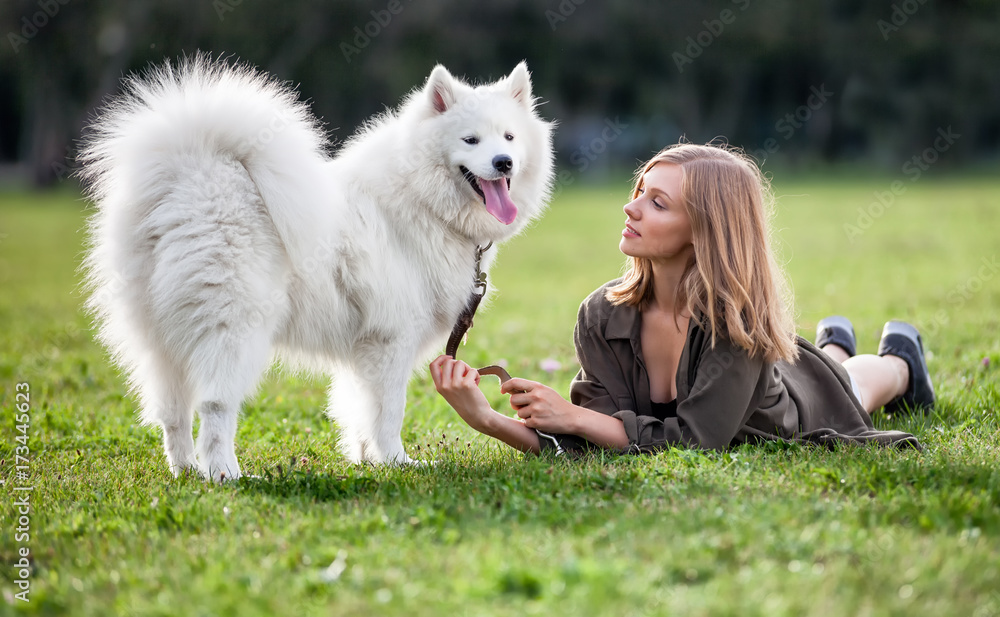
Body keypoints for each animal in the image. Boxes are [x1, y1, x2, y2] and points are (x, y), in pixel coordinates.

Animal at [82, 57, 556, 478]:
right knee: (215, 406)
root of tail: (191, 176)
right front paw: (398, 463)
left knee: (173, 411)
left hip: (161, 341)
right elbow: (389, 411)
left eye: (509, 137)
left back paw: (186, 472)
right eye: (471, 140)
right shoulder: (392, 340)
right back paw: (226, 474)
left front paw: (367, 461)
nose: (503, 162)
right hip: (234, 330)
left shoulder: (363, 349)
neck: (422, 199)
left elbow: (359, 410)